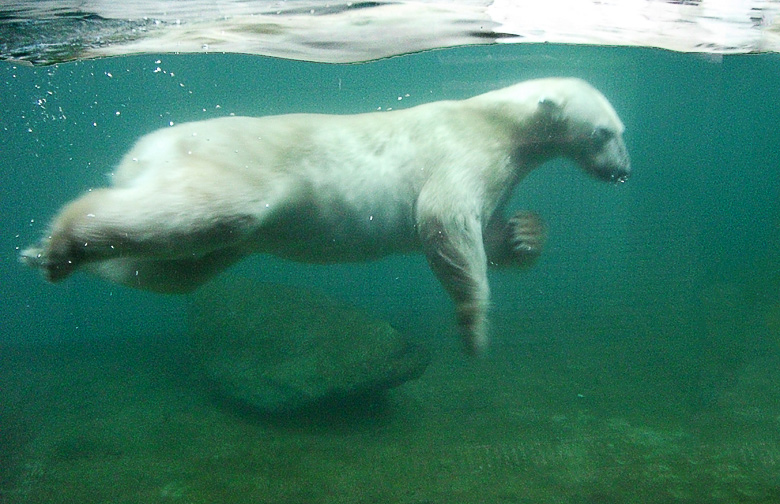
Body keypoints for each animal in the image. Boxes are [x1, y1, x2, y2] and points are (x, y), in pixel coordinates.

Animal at [19, 78, 628, 354]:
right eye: (606, 131)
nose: (623, 171)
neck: (498, 119)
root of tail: (142, 151)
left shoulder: (499, 169)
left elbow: (488, 231)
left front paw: (525, 234)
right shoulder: (463, 152)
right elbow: (443, 224)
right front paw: (475, 329)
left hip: (226, 236)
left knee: (178, 268)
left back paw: (52, 256)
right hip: (241, 168)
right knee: (204, 213)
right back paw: (59, 241)